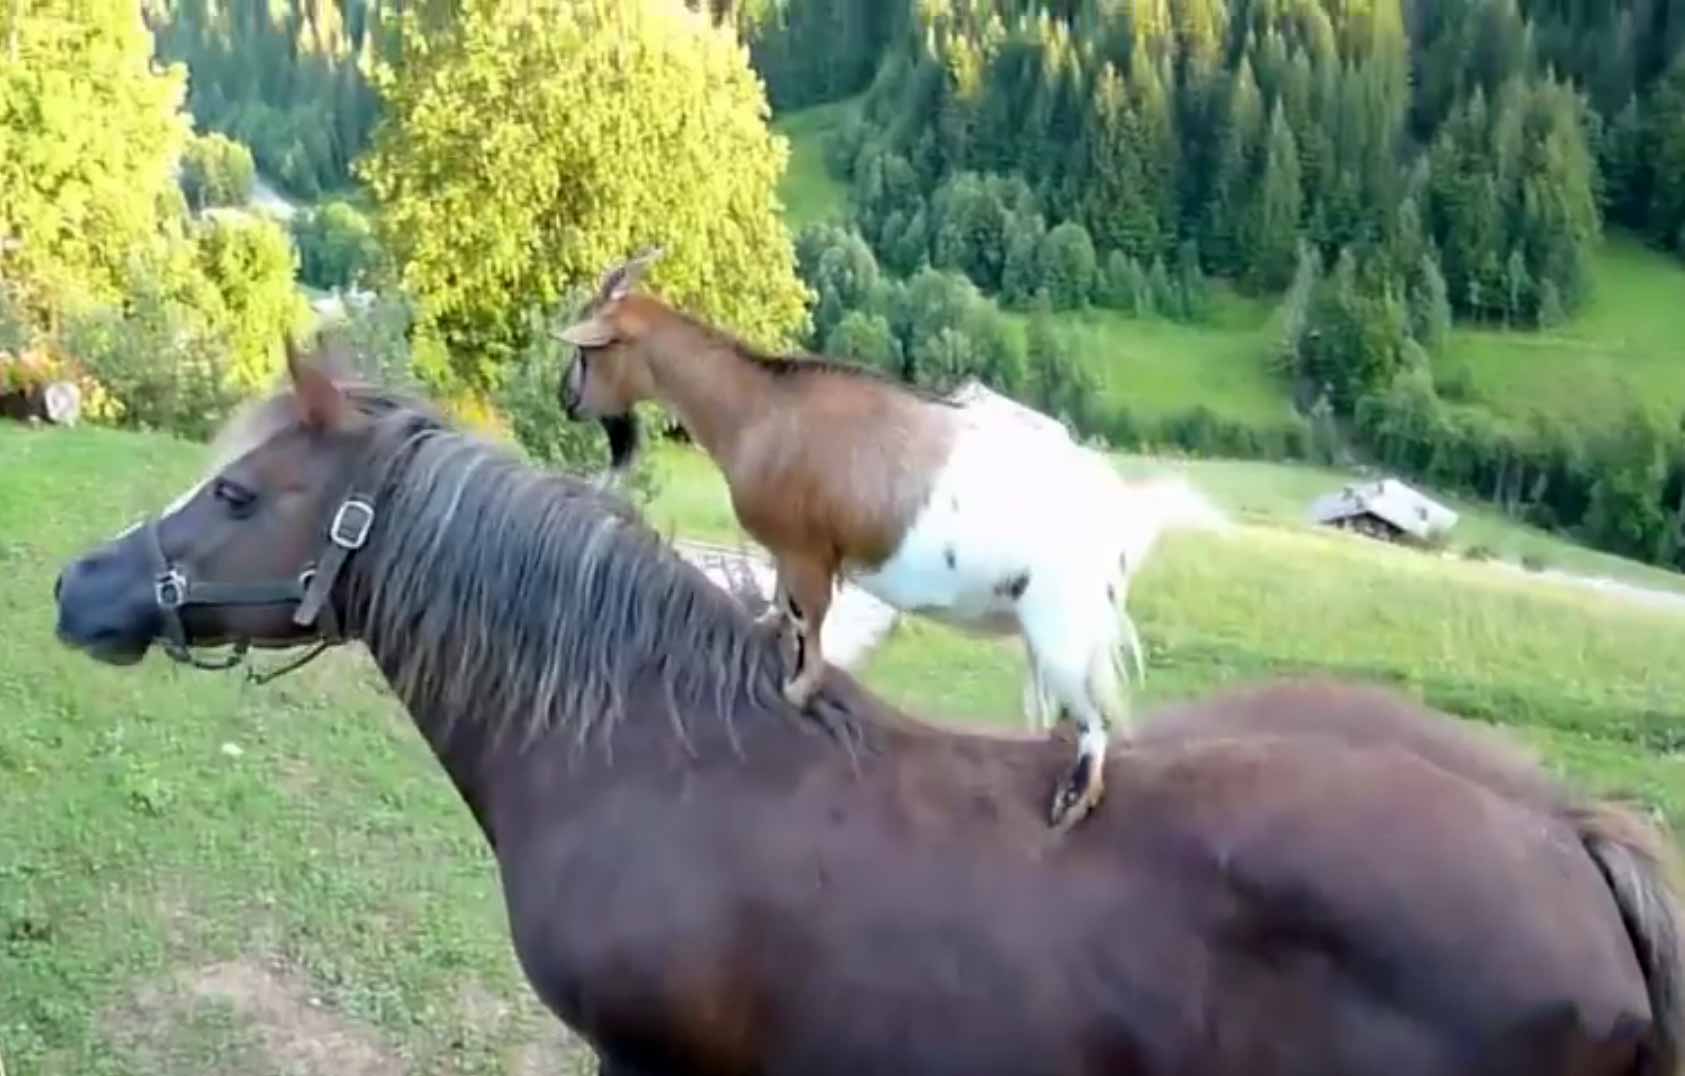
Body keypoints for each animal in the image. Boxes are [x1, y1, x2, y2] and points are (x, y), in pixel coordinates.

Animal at [554, 247, 1224, 831]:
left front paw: (799, 690)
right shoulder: (789, 555)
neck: (759, 410)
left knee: (1096, 716)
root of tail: (1127, 515)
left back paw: (1074, 798)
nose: (566, 400)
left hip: (1064, 624)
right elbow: (785, 608)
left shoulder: (809, 552)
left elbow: (812, 621)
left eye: (587, 354)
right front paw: (767, 630)